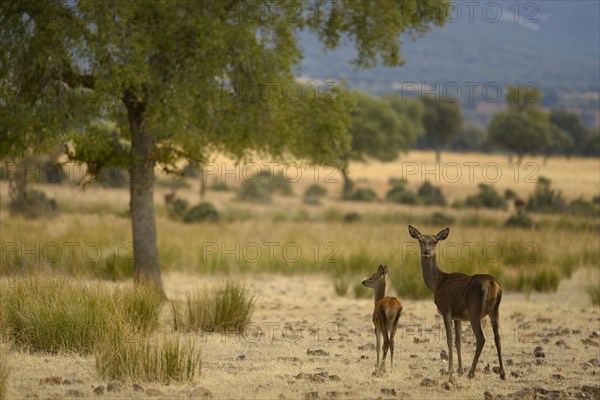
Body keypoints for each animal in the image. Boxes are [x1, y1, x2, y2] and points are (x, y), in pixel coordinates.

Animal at [410, 227, 504, 380]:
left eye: (435, 241)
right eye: (420, 240)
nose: (426, 251)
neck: (437, 284)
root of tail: (491, 284)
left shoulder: (446, 309)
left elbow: (449, 339)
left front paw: (451, 370)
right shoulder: (458, 316)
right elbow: (458, 341)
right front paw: (459, 370)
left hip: (474, 310)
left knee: (481, 338)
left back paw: (471, 373)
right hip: (495, 309)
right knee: (497, 337)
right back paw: (502, 373)